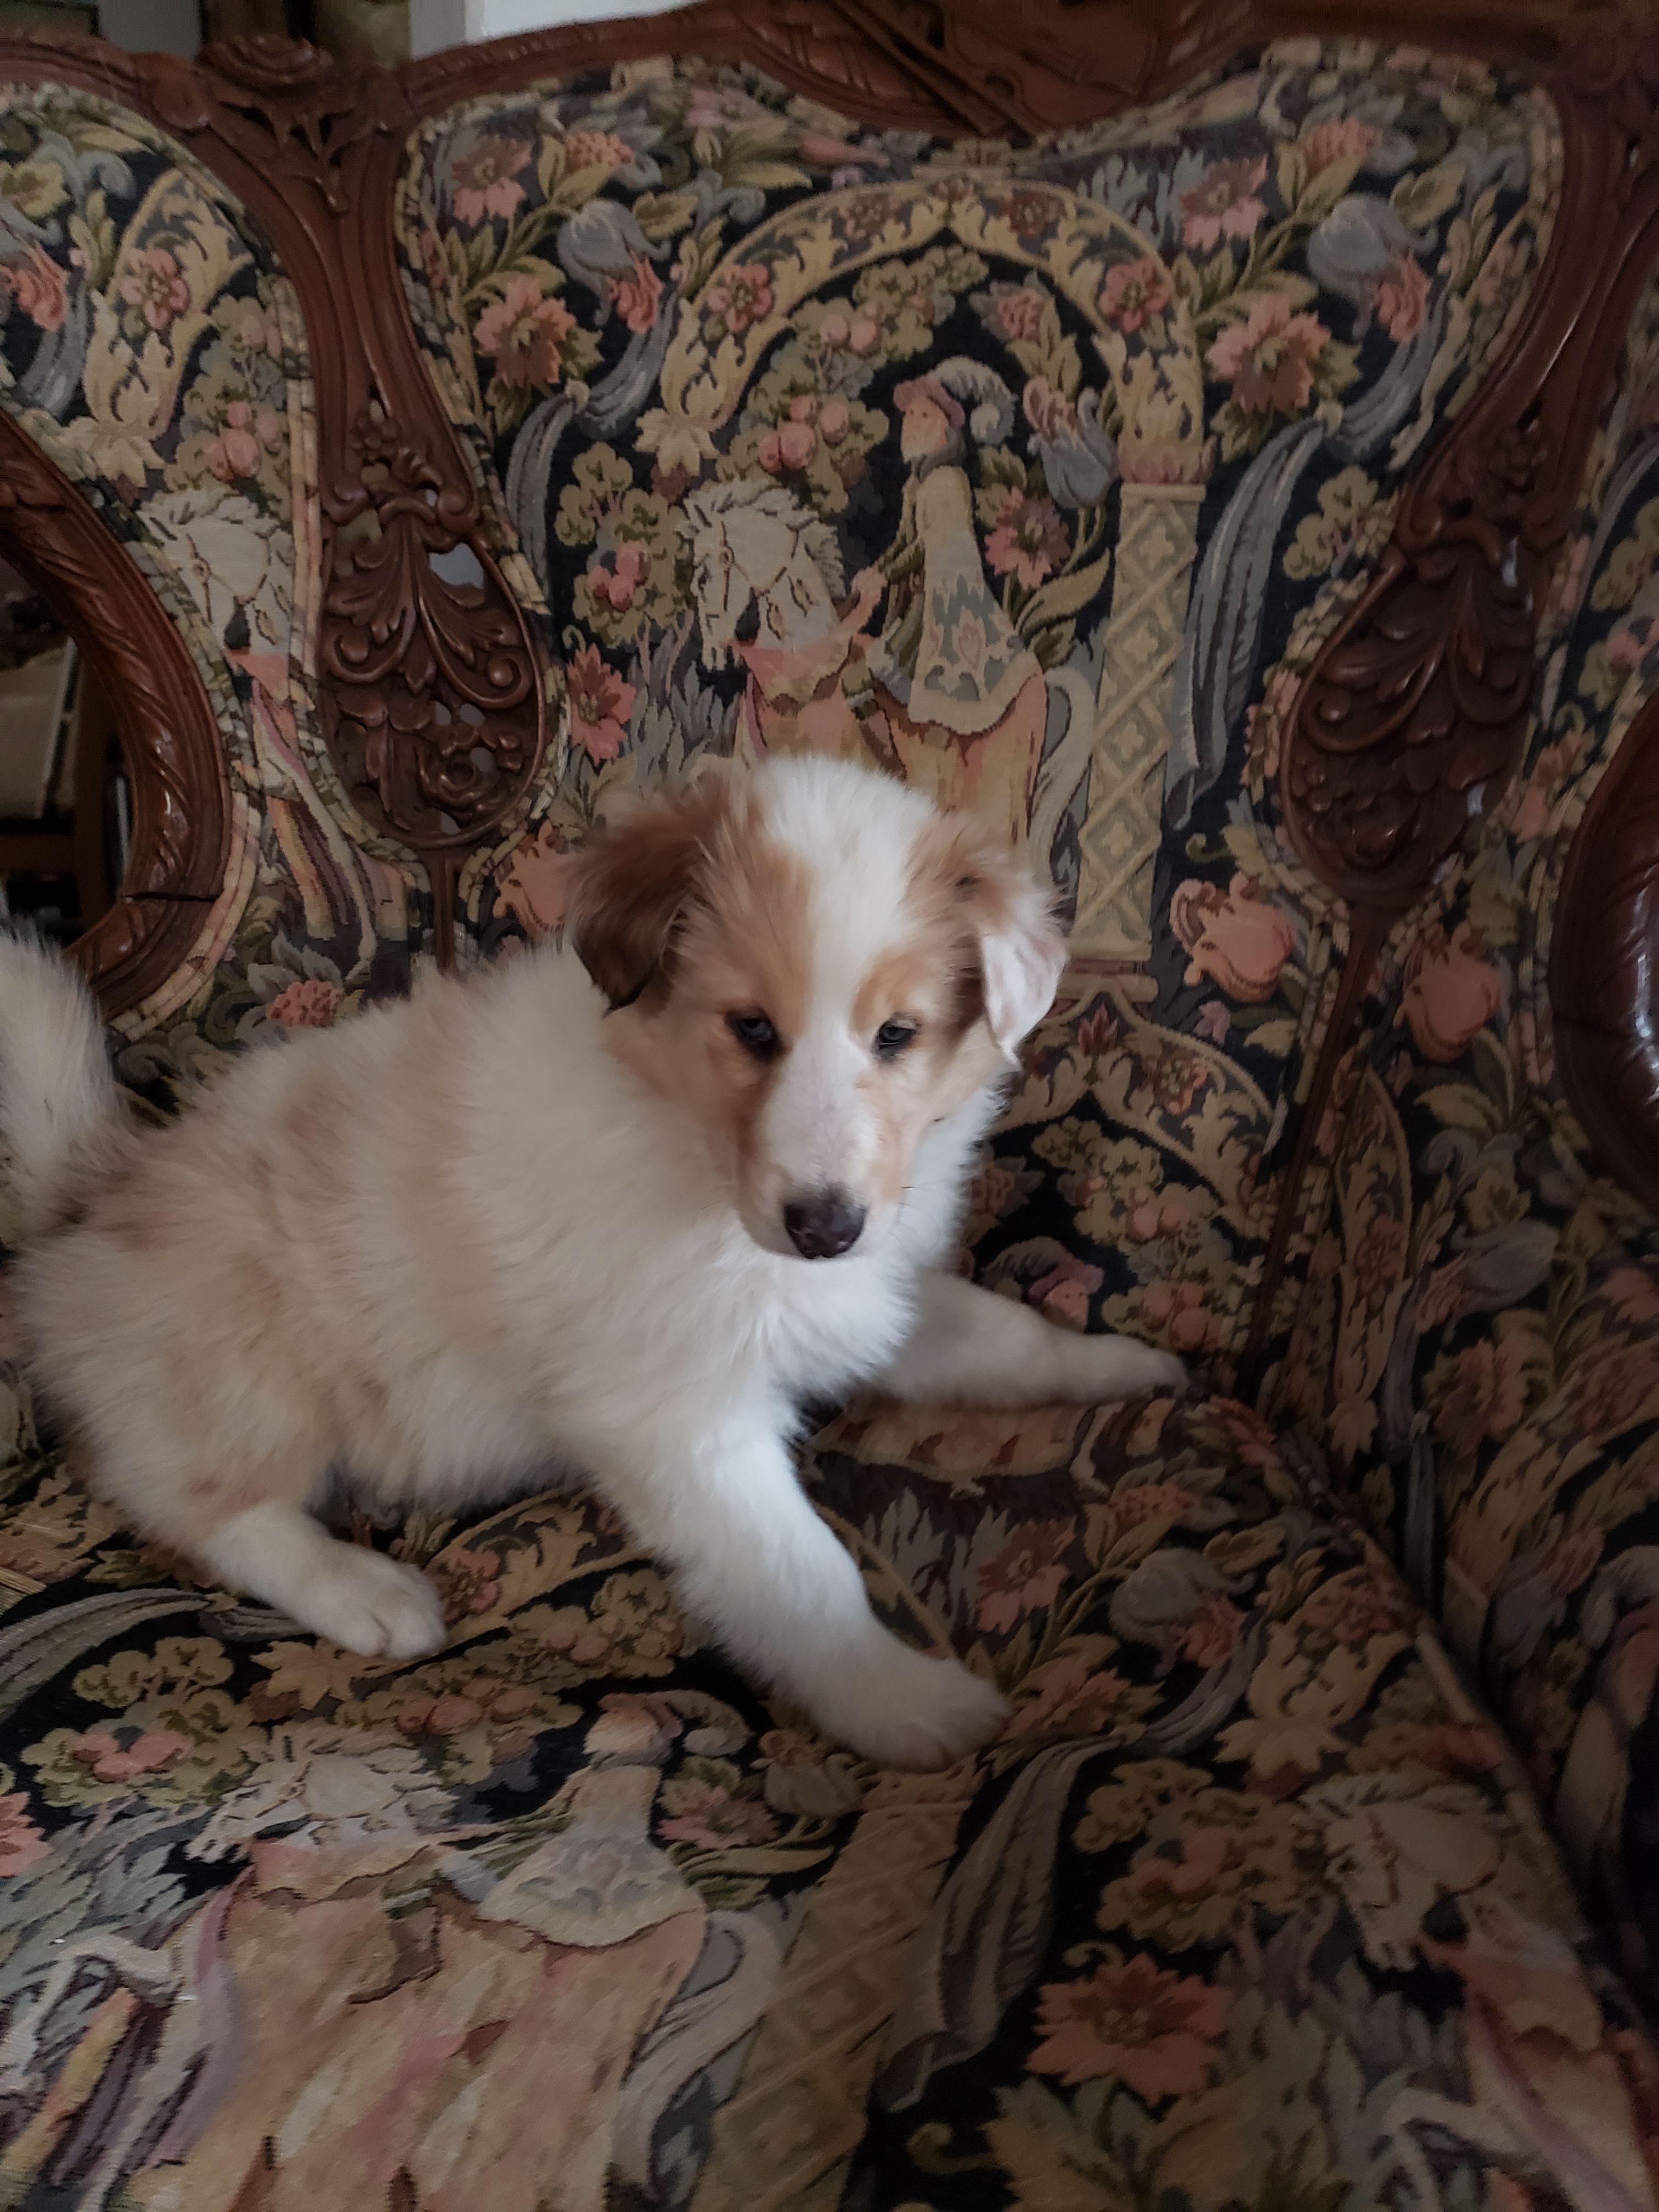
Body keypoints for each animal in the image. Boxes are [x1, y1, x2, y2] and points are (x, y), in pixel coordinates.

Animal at [0, 757, 1183, 1768]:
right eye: (752, 1029)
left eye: (898, 1034)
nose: (823, 1226)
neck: (692, 1153)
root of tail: (100, 1195)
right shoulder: (680, 1418)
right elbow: (805, 1573)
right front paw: (905, 1704)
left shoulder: (864, 1296)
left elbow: (1001, 1334)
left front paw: (1128, 1368)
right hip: (255, 1366)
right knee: (195, 1501)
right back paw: (368, 1591)